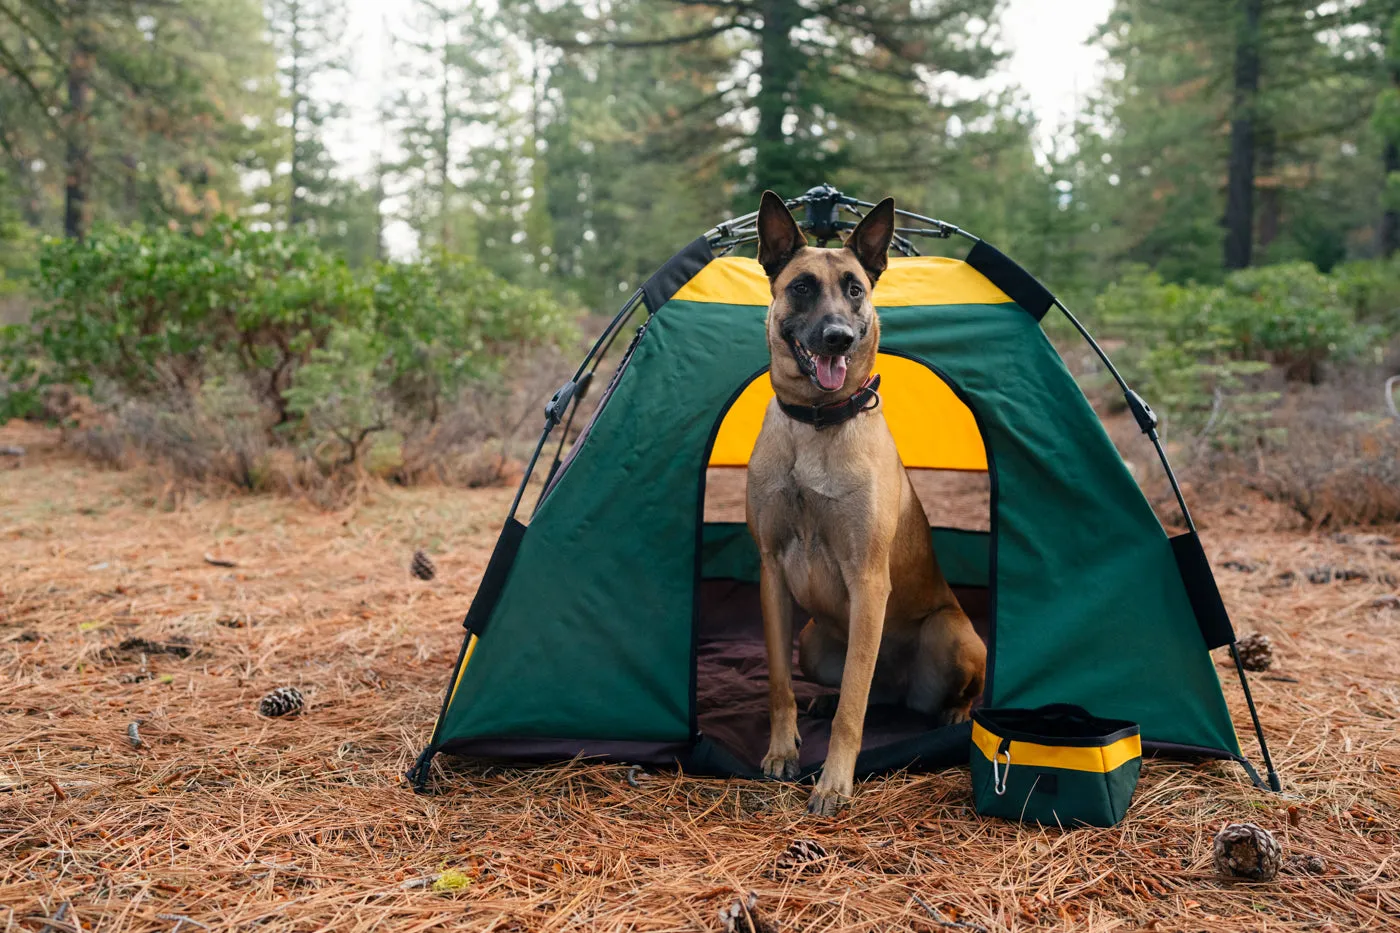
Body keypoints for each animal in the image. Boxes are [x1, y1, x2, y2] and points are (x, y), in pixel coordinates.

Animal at [744, 190, 985, 812]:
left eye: (855, 289)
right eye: (803, 287)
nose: (838, 338)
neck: (816, 424)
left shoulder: (869, 578)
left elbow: (854, 707)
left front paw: (834, 781)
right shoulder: (771, 572)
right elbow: (779, 682)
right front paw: (781, 749)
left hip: (950, 634)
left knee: (911, 692)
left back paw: (953, 715)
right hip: (814, 641)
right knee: (866, 687)